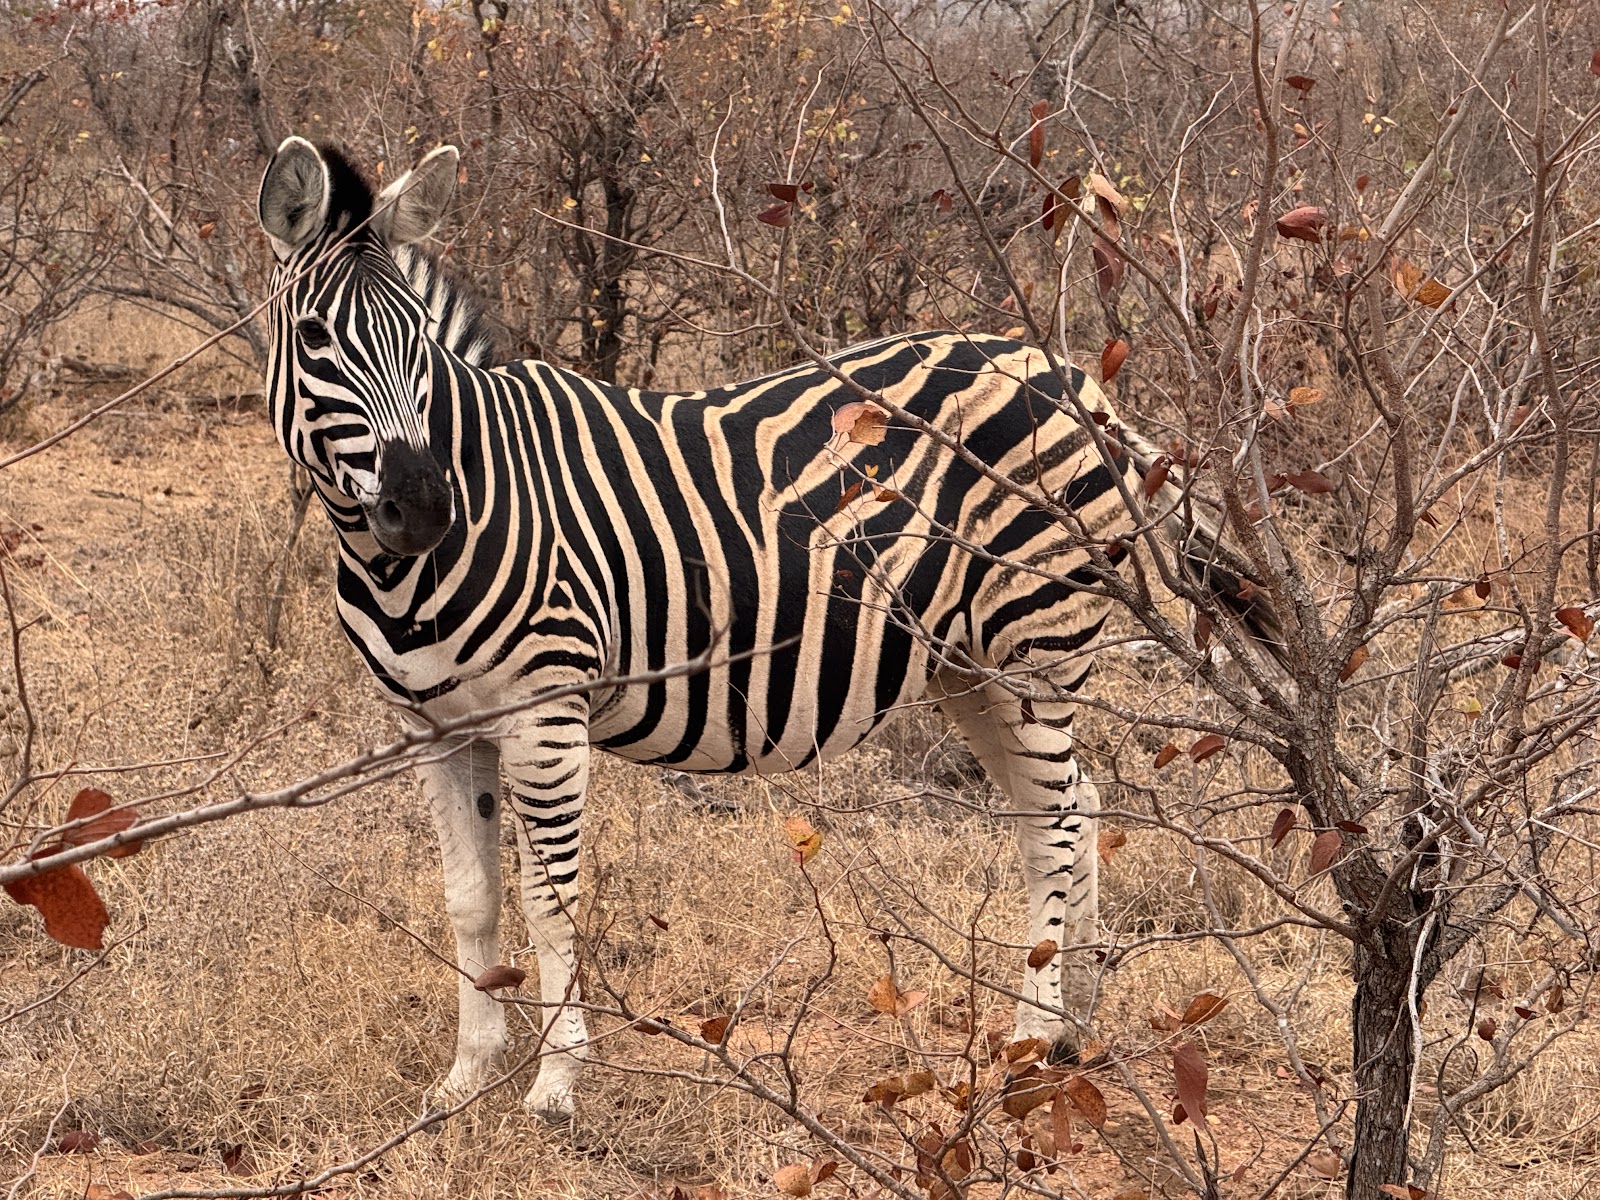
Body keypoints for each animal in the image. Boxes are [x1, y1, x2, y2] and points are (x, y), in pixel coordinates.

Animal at [255, 137, 1271, 1120]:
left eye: (420, 347)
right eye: (314, 339)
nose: (424, 509)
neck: (410, 564)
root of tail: (1076, 380)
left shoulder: (546, 713)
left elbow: (551, 901)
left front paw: (556, 1085)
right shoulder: (430, 727)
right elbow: (471, 902)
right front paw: (465, 1079)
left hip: (1034, 642)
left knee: (1057, 824)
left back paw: (1030, 1039)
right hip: (968, 665)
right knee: (1068, 806)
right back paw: (1069, 1023)